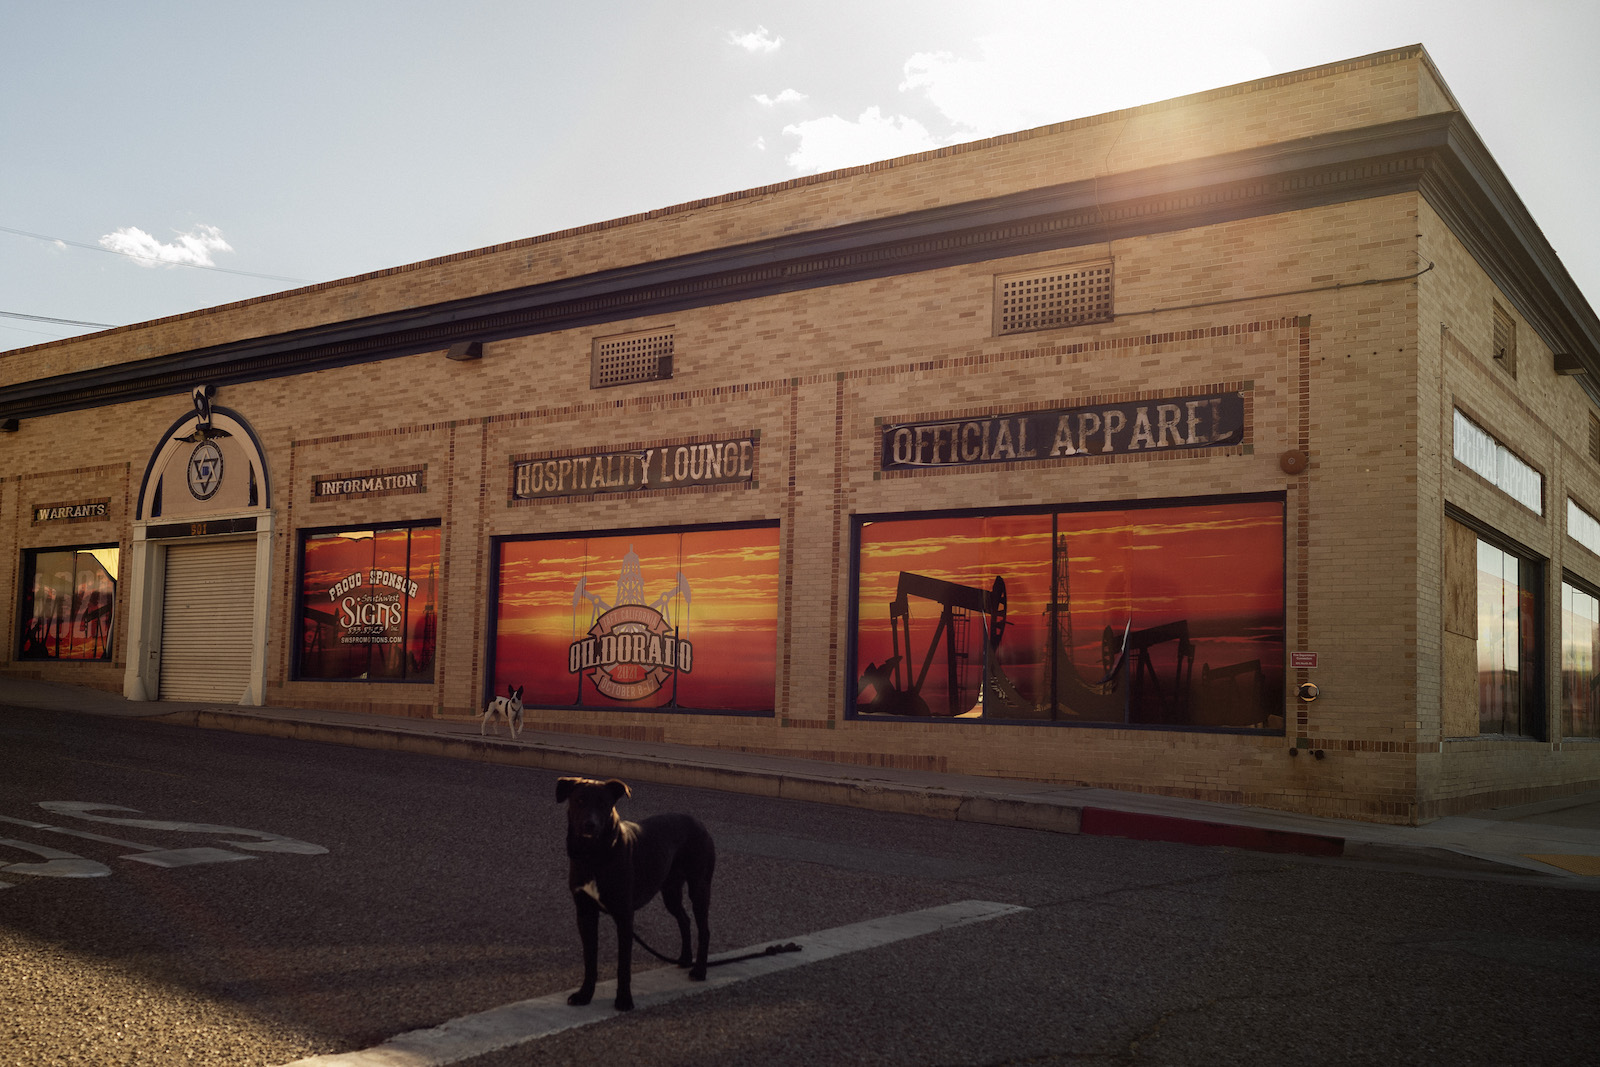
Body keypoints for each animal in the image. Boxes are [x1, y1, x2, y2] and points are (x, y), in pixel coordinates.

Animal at [560, 777, 716, 1011]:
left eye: (604, 803)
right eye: (579, 800)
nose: (590, 824)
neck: (595, 856)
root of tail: (700, 823)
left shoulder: (624, 916)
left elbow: (623, 965)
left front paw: (624, 1000)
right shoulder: (585, 914)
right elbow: (590, 959)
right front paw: (584, 995)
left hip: (699, 887)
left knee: (704, 929)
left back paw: (699, 970)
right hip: (670, 891)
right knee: (684, 919)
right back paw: (684, 959)